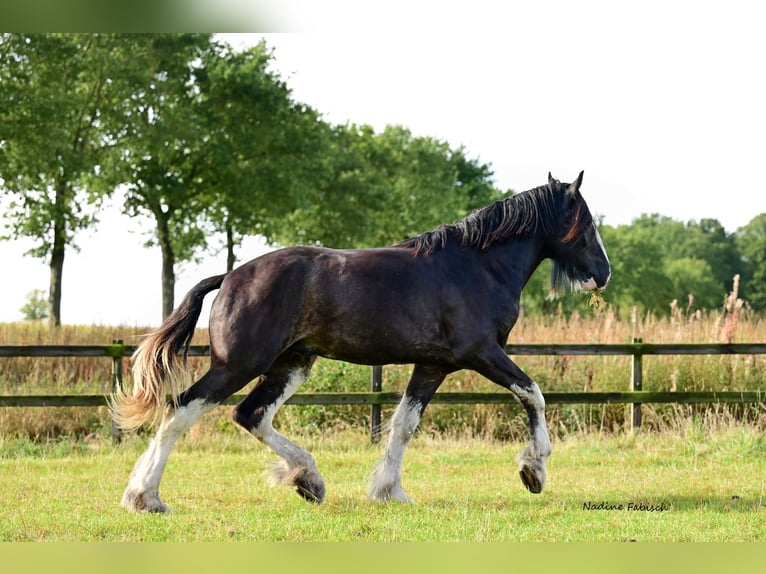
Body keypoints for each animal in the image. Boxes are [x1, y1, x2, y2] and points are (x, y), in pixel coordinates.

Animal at [112, 171, 610, 512]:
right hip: (239, 364)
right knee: (181, 410)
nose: (603, 273)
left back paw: (308, 480)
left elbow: (404, 425)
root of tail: (231, 276)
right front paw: (533, 471)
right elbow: (534, 394)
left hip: (291, 364)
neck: (478, 266)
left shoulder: (433, 365)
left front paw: (389, 491)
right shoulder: (482, 354)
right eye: (586, 222)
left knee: (251, 414)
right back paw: (145, 498)